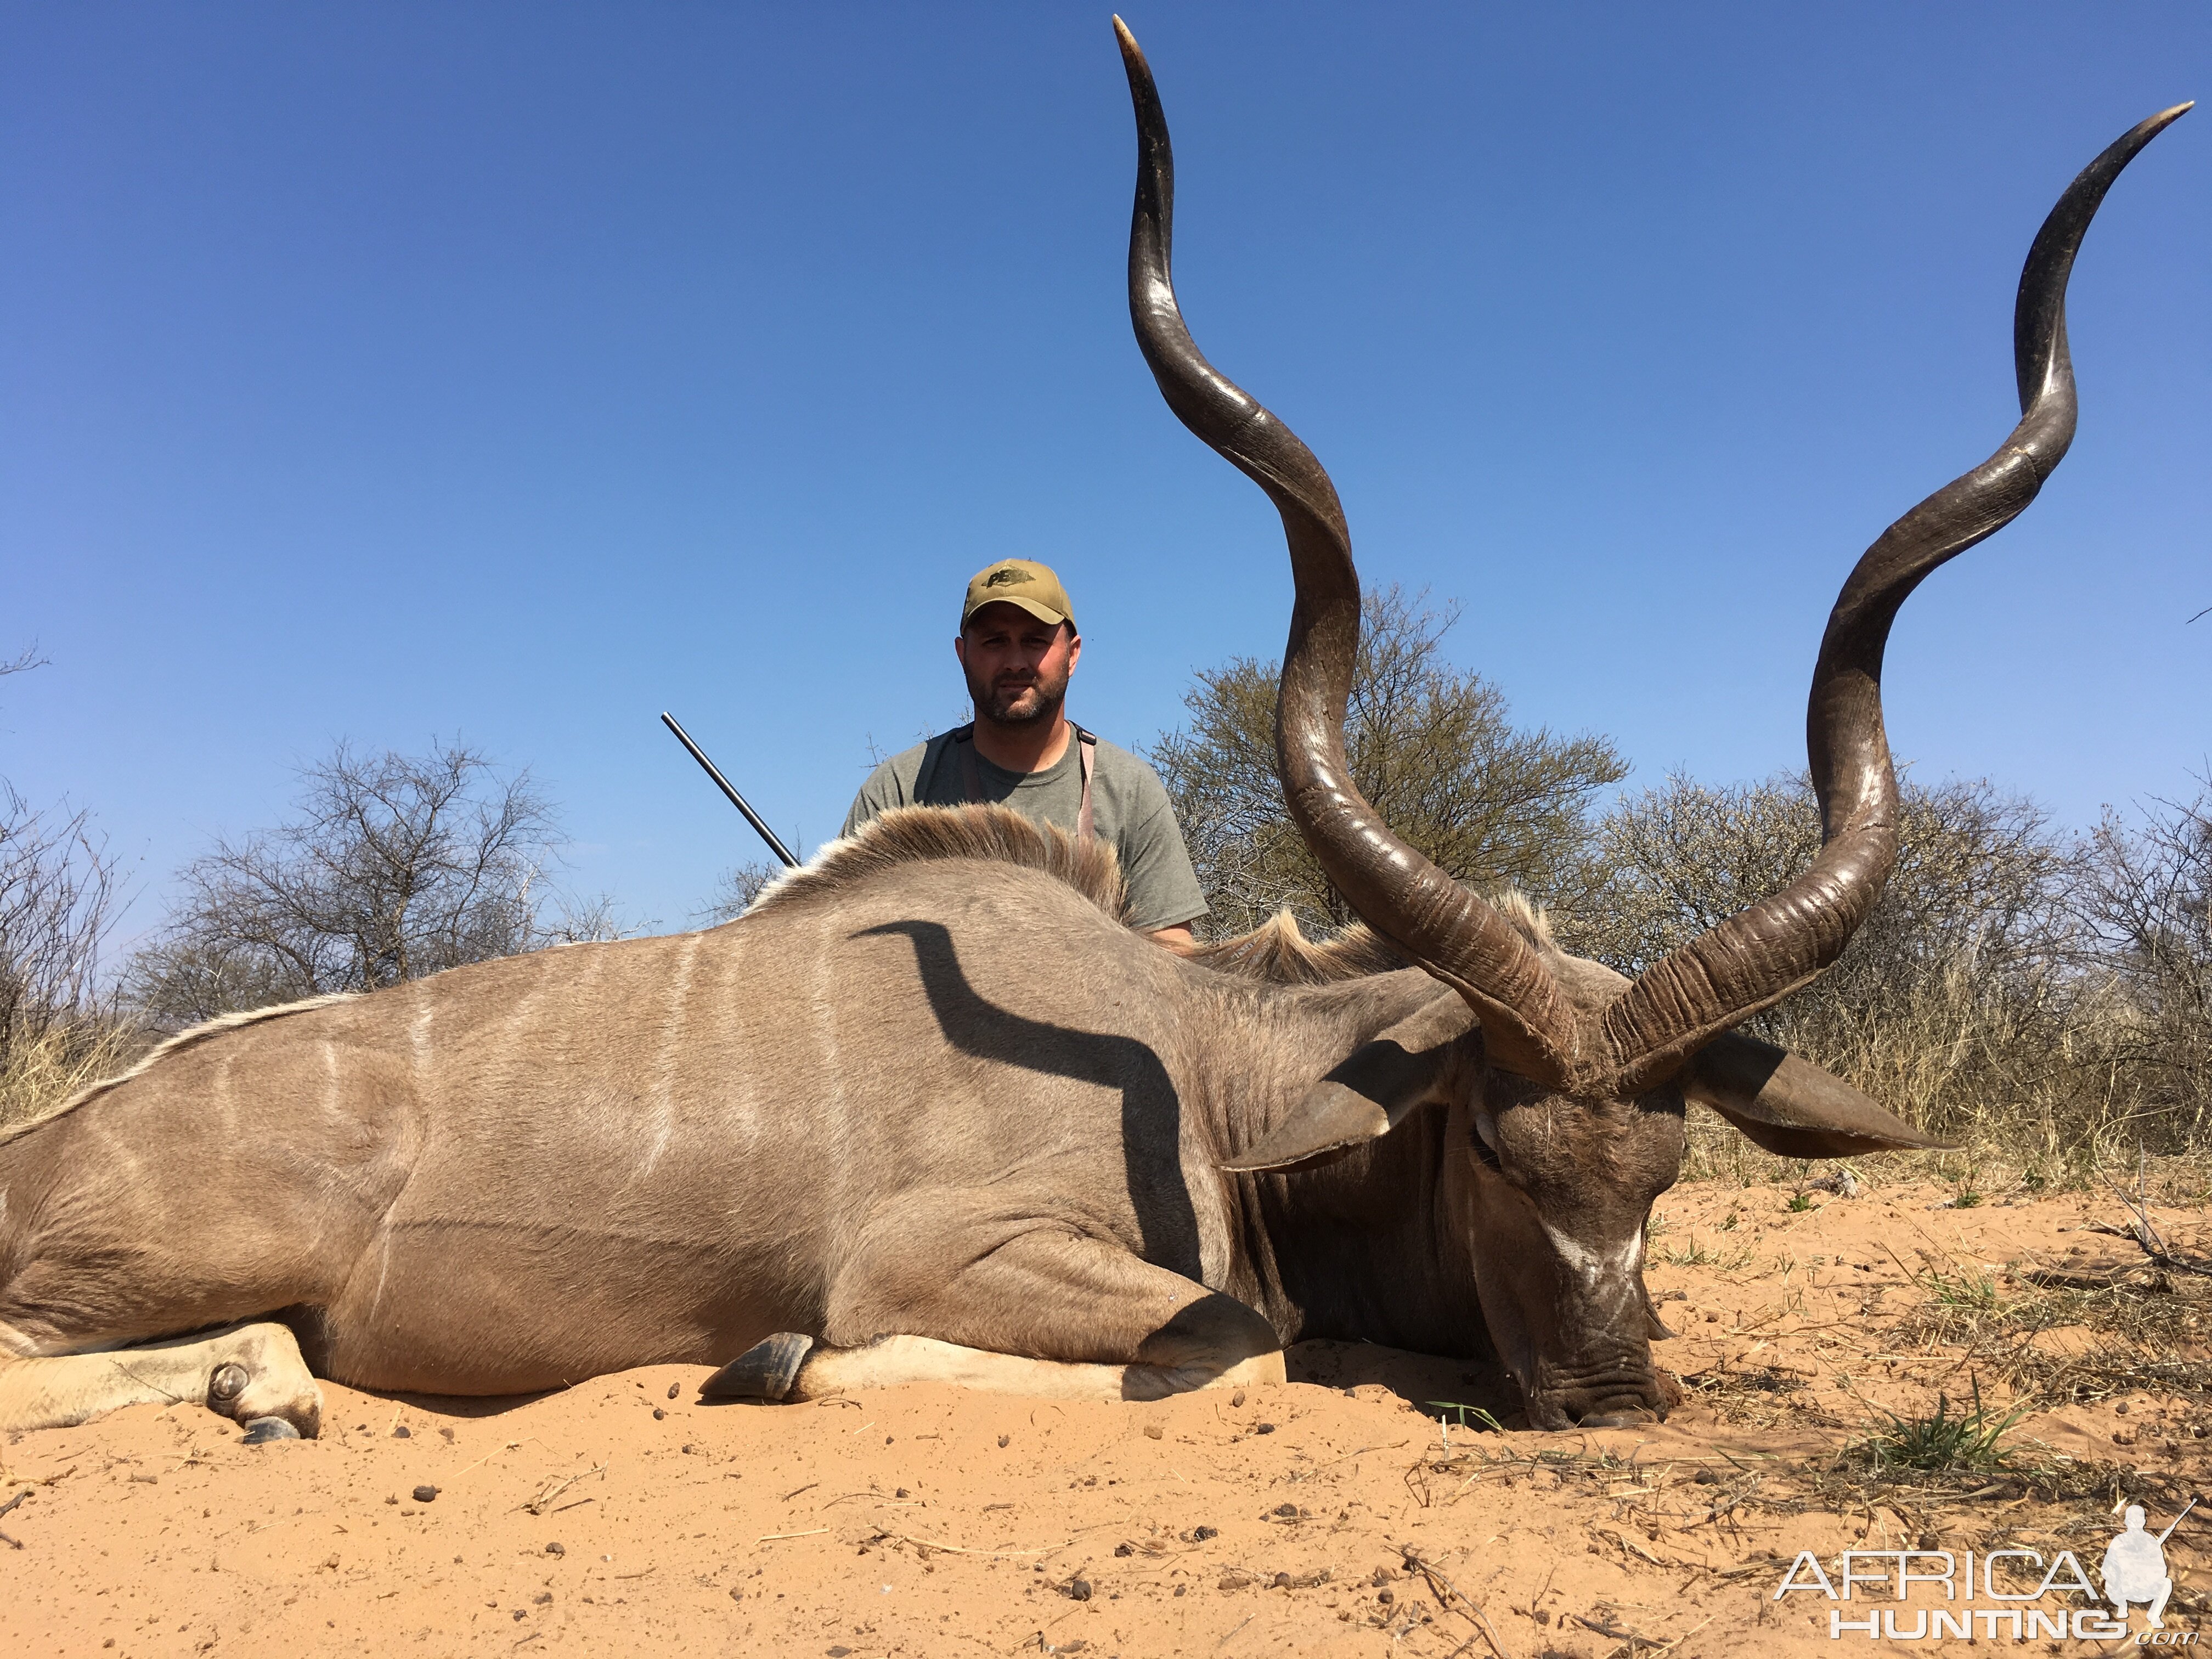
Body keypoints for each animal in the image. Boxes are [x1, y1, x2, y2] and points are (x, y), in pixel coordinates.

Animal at [0, 36, 2185, 1442]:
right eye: (1489, 1136)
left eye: (1669, 1168)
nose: (1613, 1390)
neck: (1211, 1069)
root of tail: (65, 1135)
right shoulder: (957, 1256)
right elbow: (1216, 1340)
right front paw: (775, 1360)